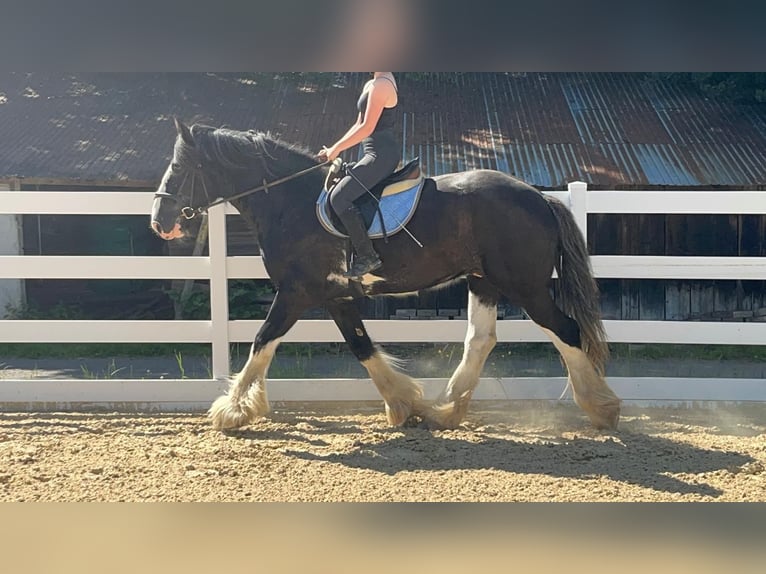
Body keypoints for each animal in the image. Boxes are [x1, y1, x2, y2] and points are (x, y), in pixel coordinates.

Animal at [151, 118, 621, 431]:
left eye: (180, 168)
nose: (160, 222)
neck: (291, 201)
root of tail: (540, 198)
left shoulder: (297, 292)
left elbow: (262, 341)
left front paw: (232, 410)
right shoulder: (335, 295)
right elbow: (362, 346)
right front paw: (403, 402)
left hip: (525, 287)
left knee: (567, 330)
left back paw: (601, 407)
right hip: (483, 281)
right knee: (481, 340)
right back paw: (445, 410)